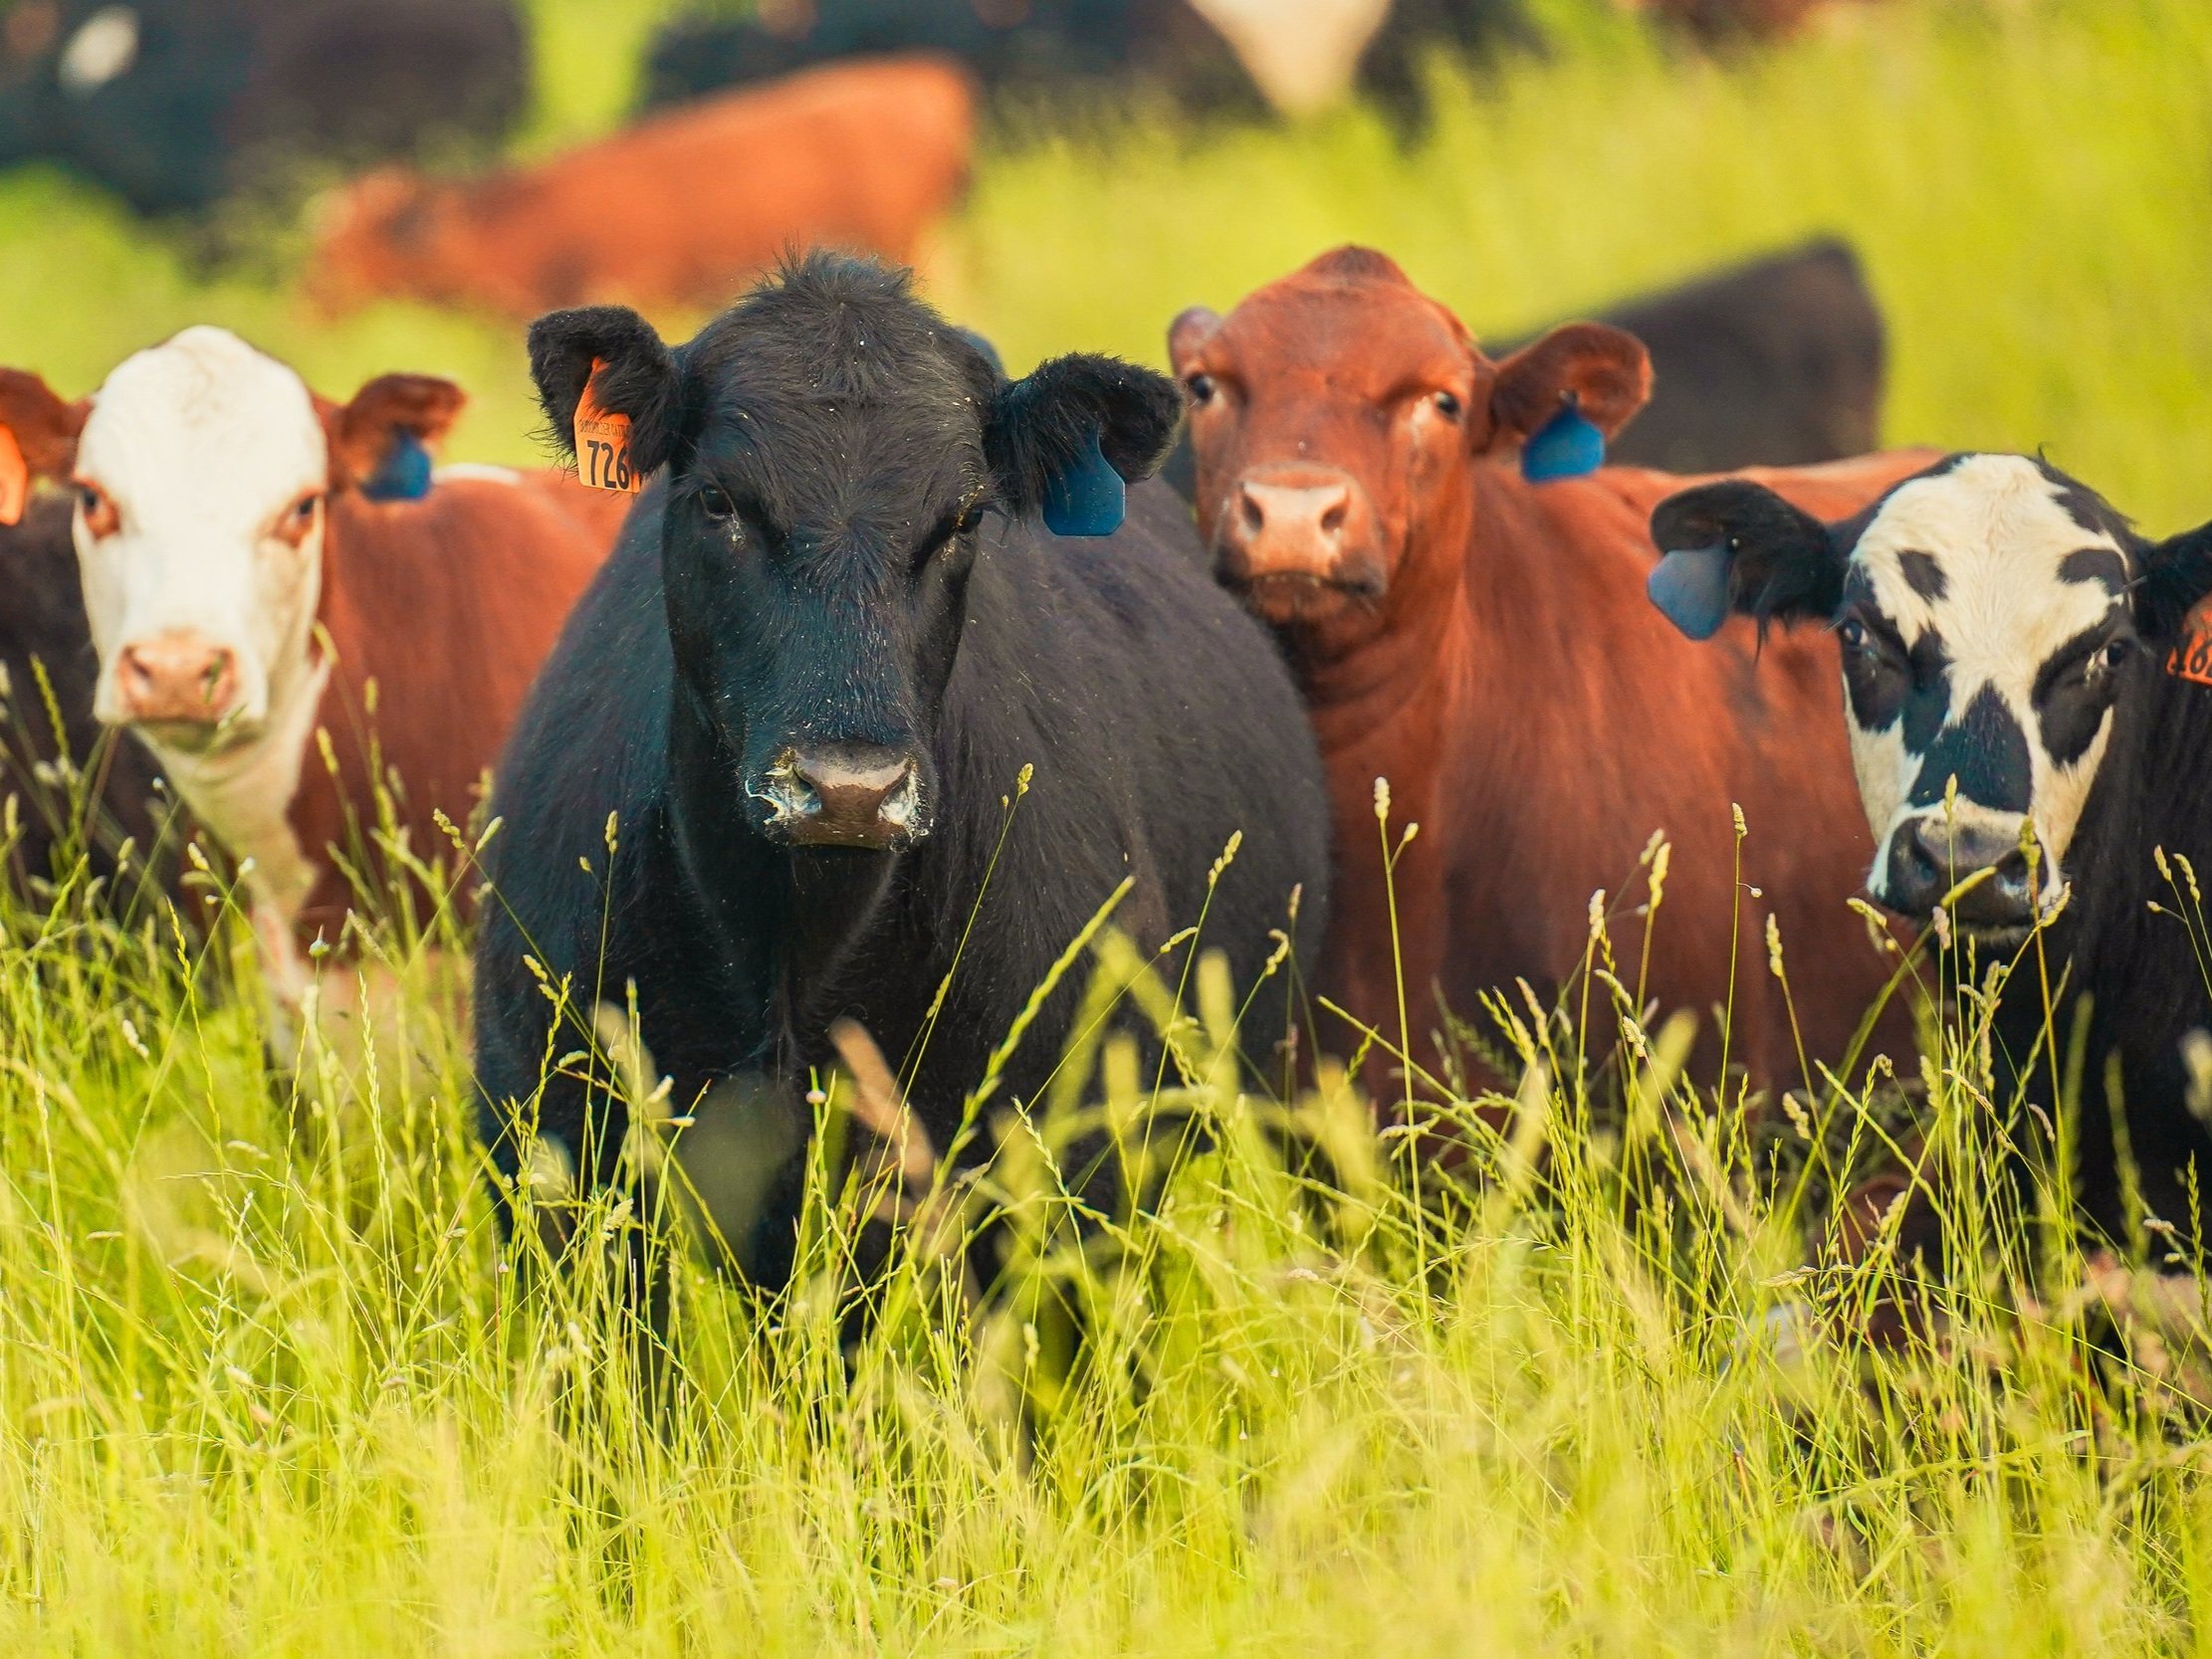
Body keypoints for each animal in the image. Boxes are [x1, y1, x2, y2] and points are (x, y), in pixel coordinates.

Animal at [474, 253, 1331, 1288]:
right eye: (719, 501)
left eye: (963, 518)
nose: (850, 787)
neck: (794, 957)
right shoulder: (558, 1159)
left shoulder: (1071, 1178)